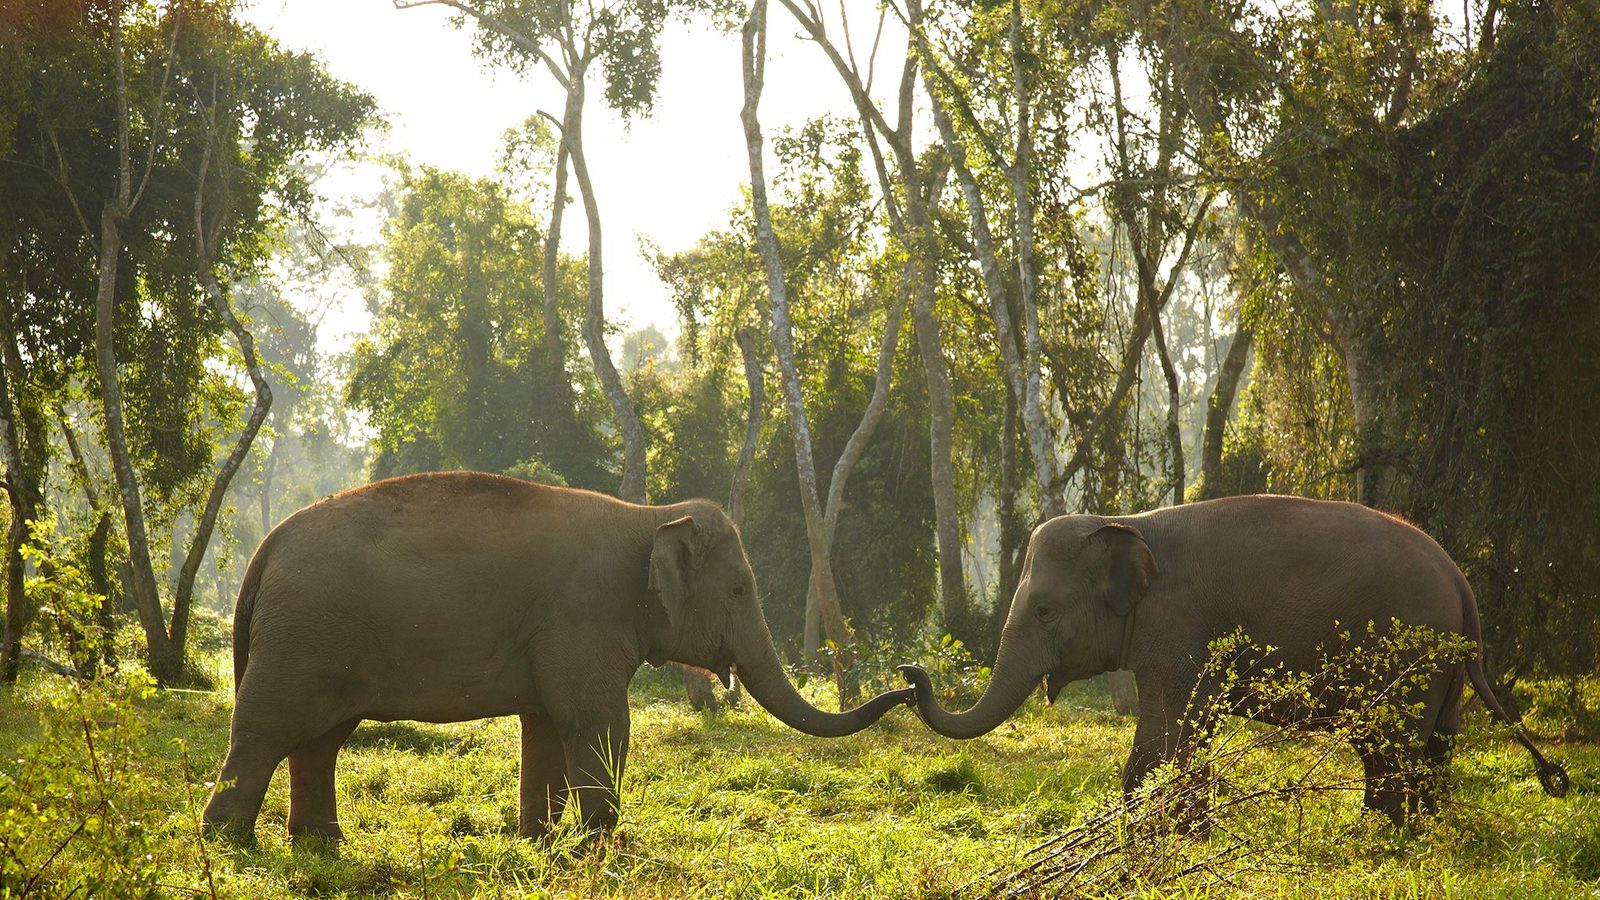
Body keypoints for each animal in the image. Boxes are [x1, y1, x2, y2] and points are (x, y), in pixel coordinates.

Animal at [202, 471, 912, 843]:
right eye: (739, 589)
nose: (913, 680)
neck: (648, 517)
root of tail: (265, 549)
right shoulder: (582, 617)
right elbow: (597, 723)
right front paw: (601, 847)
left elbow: (544, 726)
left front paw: (538, 843)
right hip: (302, 637)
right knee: (266, 730)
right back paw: (231, 843)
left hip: (320, 641)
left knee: (320, 739)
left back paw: (320, 845)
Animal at [898, 494, 1568, 825]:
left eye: (1042, 611)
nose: (910, 674)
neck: (1125, 521)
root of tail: (1460, 581)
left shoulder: (1179, 625)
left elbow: (1174, 727)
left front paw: (1164, 829)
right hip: (1441, 666)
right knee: (1430, 746)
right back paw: (1412, 832)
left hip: (1410, 659)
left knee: (1393, 745)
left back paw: (1384, 835)